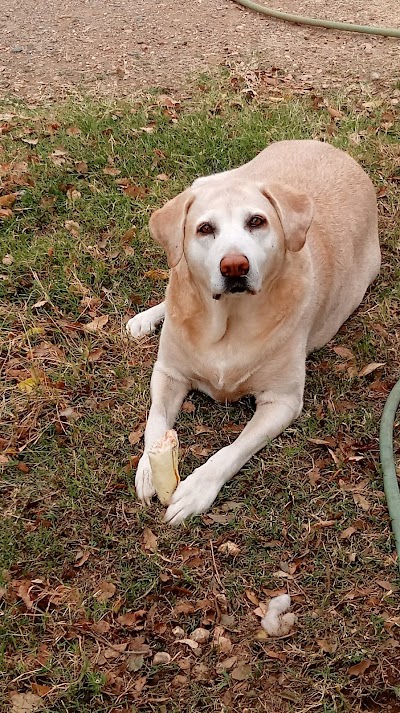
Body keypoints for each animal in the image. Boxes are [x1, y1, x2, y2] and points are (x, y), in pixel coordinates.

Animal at [126, 142, 380, 524]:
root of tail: (328, 146)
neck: (228, 322)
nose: (234, 266)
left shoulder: (281, 402)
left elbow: (233, 450)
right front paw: (147, 469)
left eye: (256, 221)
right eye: (205, 229)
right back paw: (147, 317)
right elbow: (155, 421)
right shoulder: (168, 373)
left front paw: (197, 488)